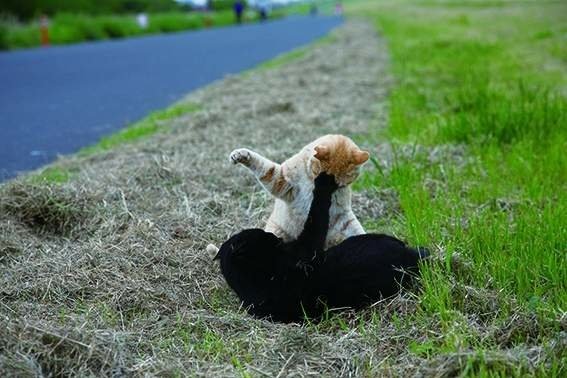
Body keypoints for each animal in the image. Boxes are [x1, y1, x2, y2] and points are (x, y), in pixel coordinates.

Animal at [215, 173, 428, 322]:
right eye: (262, 236)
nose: (274, 236)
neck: (257, 282)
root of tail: (409, 255)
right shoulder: (305, 250)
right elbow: (316, 215)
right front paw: (324, 181)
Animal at [230, 134, 368, 250]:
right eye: (324, 176)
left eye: (341, 181)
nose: (328, 190)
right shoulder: (281, 181)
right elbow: (264, 166)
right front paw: (241, 155)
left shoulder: (340, 214)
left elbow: (355, 229)